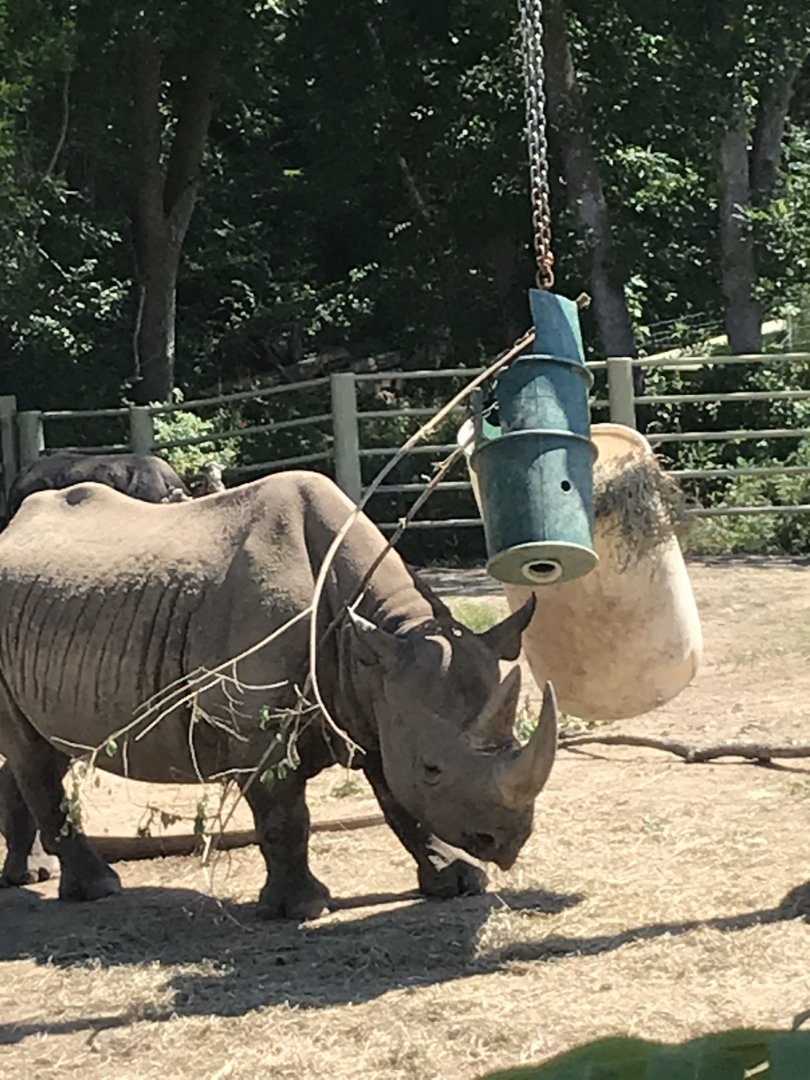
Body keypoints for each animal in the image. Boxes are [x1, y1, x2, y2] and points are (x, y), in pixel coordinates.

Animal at [0, 471, 556, 920]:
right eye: (432, 770)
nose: (506, 842)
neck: (376, 643)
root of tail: (11, 529)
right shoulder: (257, 725)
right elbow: (286, 815)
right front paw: (303, 908)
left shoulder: (379, 702)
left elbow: (398, 801)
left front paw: (459, 881)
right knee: (35, 759)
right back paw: (98, 889)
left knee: (36, 748)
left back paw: (31, 876)